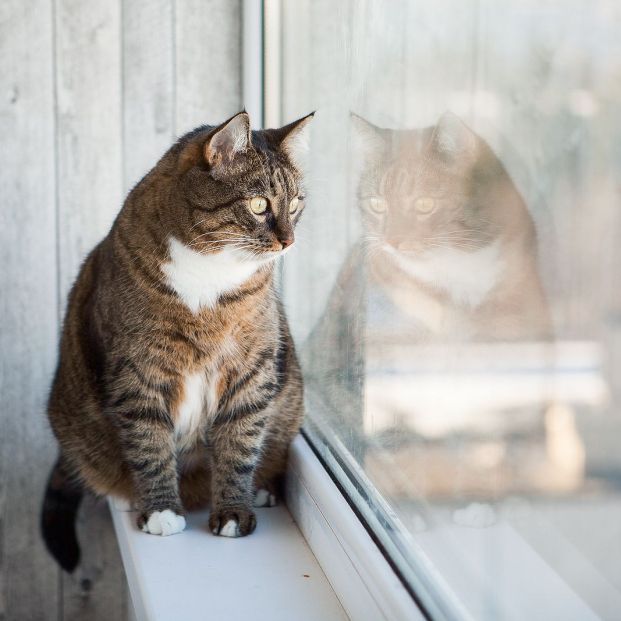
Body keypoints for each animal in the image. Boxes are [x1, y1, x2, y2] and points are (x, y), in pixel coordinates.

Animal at [41, 109, 312, 568]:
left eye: (296, 203)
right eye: (259, 204)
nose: (289, 241)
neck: (211, 269)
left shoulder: (252, 365)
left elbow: (240, 441)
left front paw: (234, 511)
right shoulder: (138, 368)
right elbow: (149, 441)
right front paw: (162, 511)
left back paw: (261, 488)